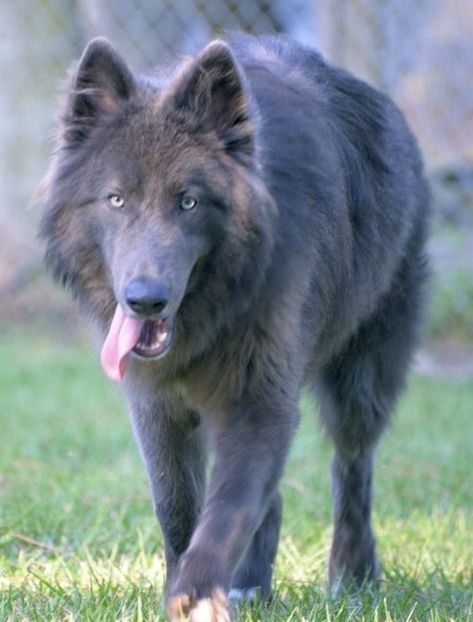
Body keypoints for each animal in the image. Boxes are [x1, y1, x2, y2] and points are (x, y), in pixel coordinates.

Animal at [38, 35, 430, 622]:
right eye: (116, 199)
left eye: (189, 201)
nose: (145, 301)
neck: (212, 314)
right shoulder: (157, 408)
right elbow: (179, 507)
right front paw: (187, 587)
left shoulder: (257, 401)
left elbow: (228, 509)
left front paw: (199, 593)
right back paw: (254, 587)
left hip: (362, 379)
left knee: (352, 467)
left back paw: (354, 576)